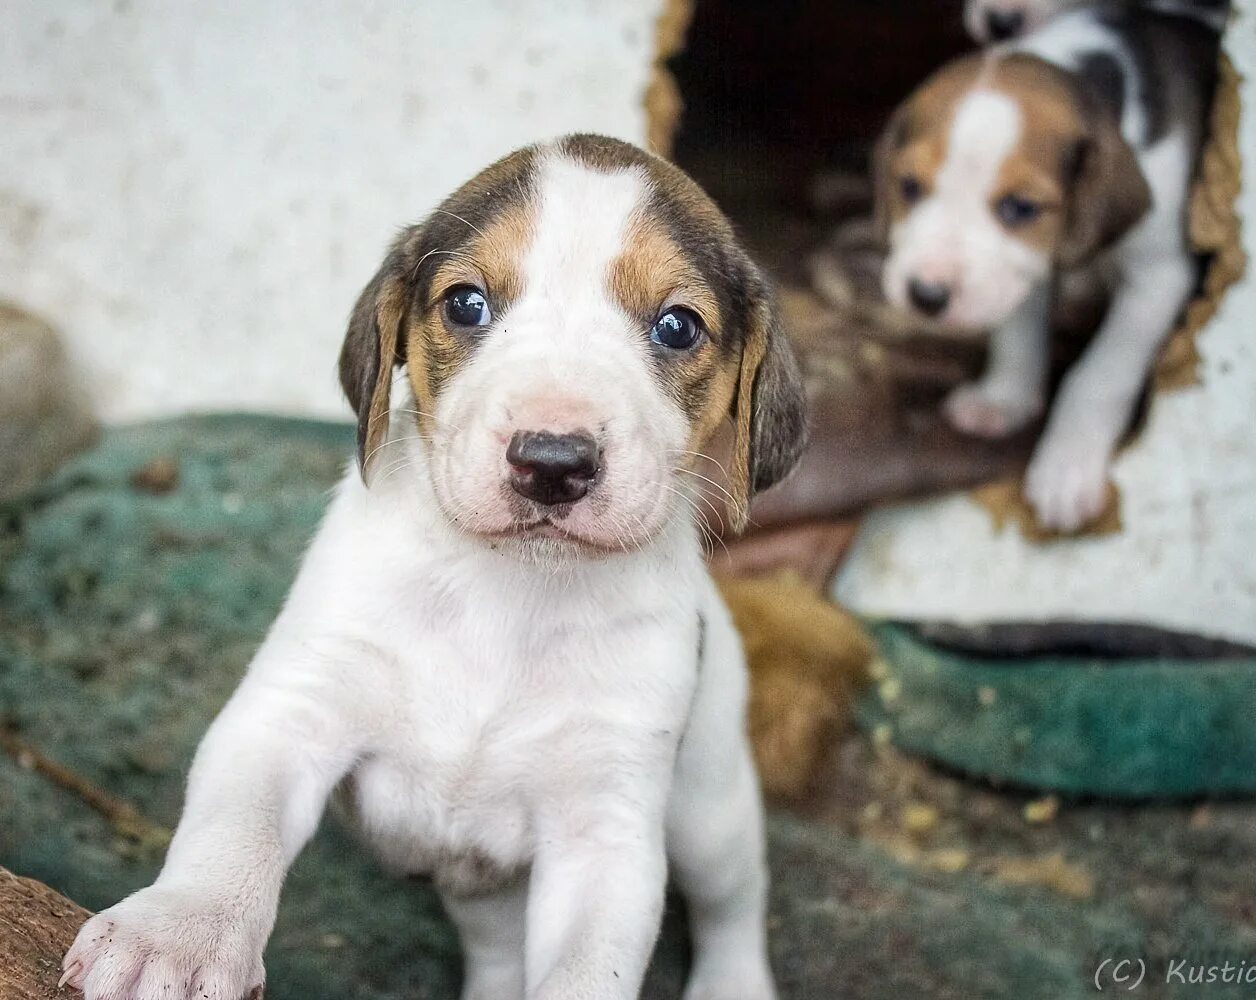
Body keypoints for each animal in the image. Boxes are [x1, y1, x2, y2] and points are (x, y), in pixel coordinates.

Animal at [59, 135, 803, 1000]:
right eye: (467, 305)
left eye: (678, 327)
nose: (553, 462)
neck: (506, 588)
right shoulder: (288, 715)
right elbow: (233, 835)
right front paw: (178, 934)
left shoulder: (604, 833)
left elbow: (590, 966)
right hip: (485, 884)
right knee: (500, 952)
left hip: (710, 807)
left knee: (733, 902)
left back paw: (733, 980)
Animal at [879, 3, 1220, 530]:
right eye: (910, 186)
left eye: (1020, 207)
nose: (926, 295)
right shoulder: (1021, 271)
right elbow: (1017, 335)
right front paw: (1003, 398)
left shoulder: (1157, 277)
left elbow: (1100, 374)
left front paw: (1066, 468)